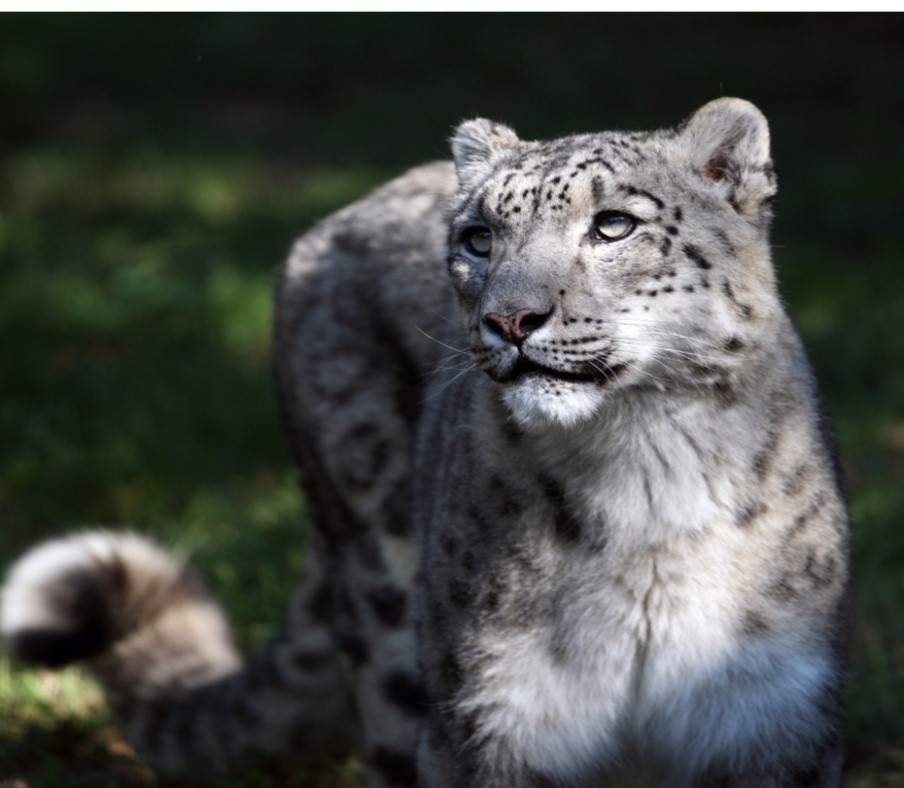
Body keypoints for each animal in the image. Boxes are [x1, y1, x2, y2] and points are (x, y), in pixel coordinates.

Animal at [1, 98, 850, 787]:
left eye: (615, 223)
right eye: (478, 238)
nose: (510, 319)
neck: (642, 478)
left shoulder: (772, 718)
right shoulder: (494, 718)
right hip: (384, 597)